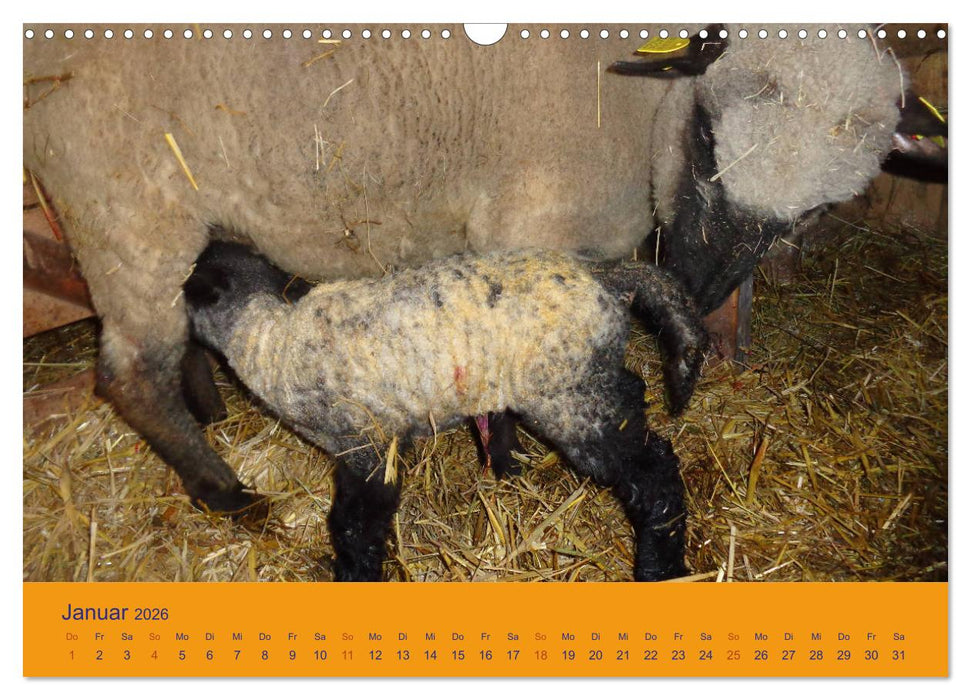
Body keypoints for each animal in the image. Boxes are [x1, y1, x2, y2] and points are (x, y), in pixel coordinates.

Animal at [23, 24, 907, 513]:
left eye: (819, 210)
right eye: (706, 138)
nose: (699, 282)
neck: (634, 94)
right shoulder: (534, 221)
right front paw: (506, 462)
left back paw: (209, 411)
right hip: (124, 204)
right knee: (131, 372)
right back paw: (228, 494)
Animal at [183, 241, 707, 581]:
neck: (270, 340)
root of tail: (604, 276)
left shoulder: (367, 445)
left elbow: (354, 526)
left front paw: (355, 575)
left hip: (571, 401)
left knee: (654, 470)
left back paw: (660, 566)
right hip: (586, 382)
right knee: (633, 393)